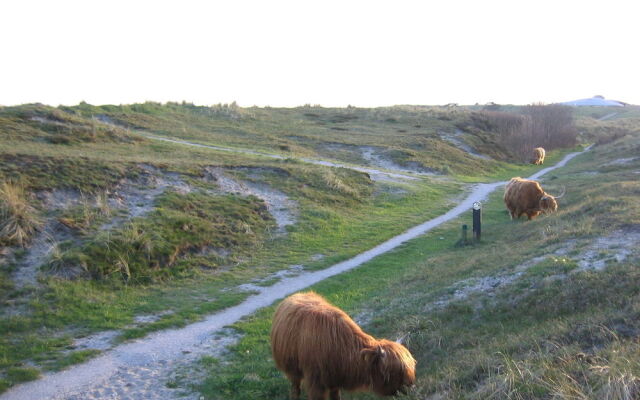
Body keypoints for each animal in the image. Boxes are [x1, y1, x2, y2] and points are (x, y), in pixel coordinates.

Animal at [268, 290, 416, 400]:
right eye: (394, 371)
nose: (411, 387)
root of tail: (295, 295)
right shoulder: (315, 383)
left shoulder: (334, 378)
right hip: (292, 369)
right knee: (295, 387)